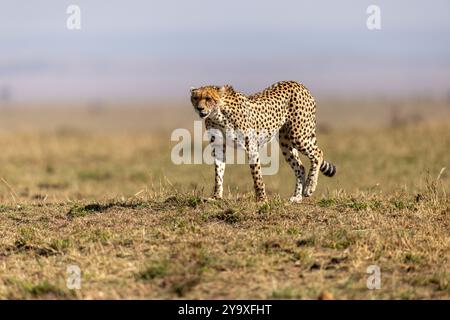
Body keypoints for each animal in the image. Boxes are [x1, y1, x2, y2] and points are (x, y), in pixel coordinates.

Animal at [188, 82, 336, 202]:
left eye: (208, 98)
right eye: (196, 98)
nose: (199, 108)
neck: (218, 115)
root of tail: (299, 84)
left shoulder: (251, 147)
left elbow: (257, 175)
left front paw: (262, 199)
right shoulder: (218, 147)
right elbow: (218, 172)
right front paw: (216, 196)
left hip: (298, 135)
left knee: (318, 153)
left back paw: (309, 188)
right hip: (285, 142)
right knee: (300, 167)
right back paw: (297, 197)